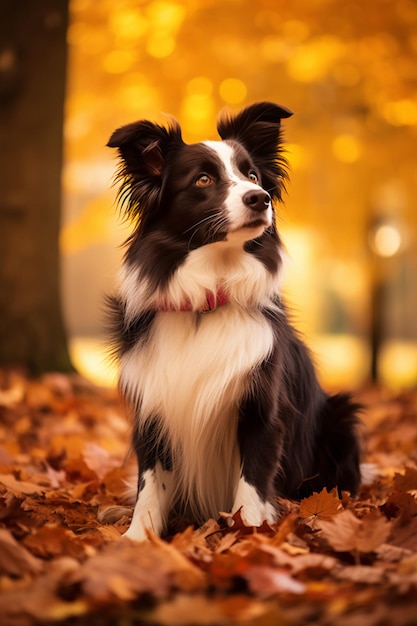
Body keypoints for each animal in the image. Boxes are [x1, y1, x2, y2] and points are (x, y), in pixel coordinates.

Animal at [107, 100, 360, 540]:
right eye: (203, 179)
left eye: (253, 175)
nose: (260, 198)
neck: (207, 301)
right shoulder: (154, 406)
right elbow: (150, 483)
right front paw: (139, 537)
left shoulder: (262, 409)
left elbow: (253, 477)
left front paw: (252, 530)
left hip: (341, 417)